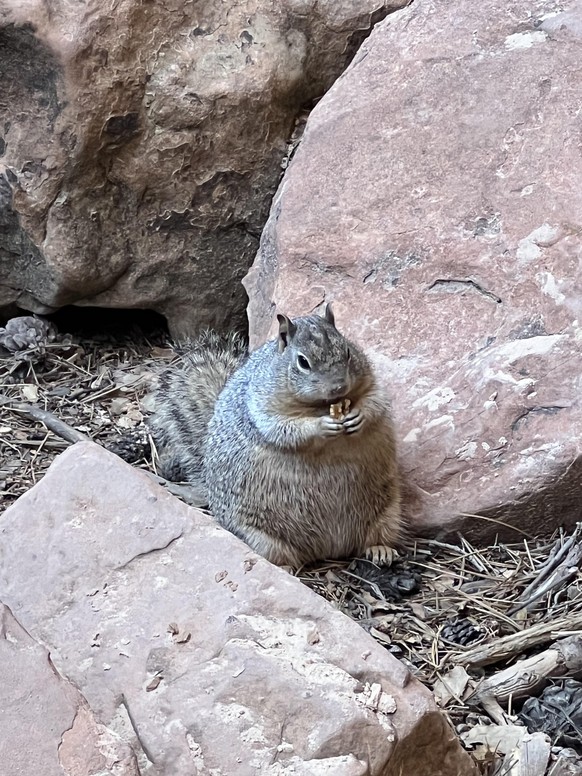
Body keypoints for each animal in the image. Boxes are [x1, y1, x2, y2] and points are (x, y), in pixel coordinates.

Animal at [149, 306, 402, 568]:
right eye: (303, 362)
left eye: (349, 351)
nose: (339, 387)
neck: (321, 405)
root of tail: (329, 551)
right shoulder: (261, 408)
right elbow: (284, 429)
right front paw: (321, 426)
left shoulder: (371, 383)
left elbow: (376, 401)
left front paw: (358, 415)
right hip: (258, 535)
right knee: (278, 557)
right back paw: (287, 567)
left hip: (389, 511)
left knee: (375, 537)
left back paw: (380, 549)